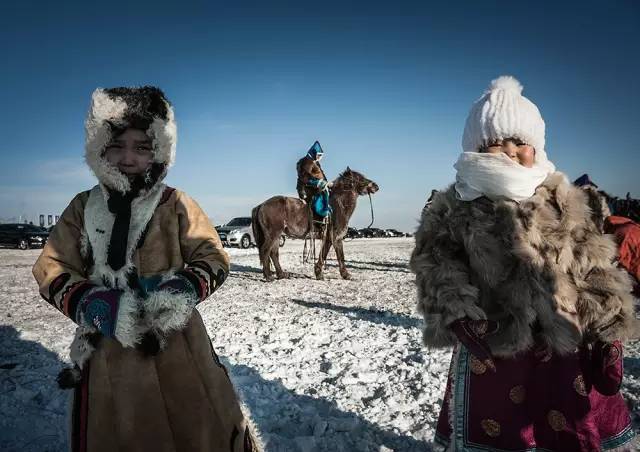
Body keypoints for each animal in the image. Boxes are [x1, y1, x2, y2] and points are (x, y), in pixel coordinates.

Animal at [251, 168, 380, 280]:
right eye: (360, 178)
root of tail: (261, 205)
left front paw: (319, 273)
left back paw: (281, 274)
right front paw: (345, 275)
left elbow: (324, 254)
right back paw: (268, 276)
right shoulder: (336, 238)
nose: (376, 186)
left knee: (273, 253)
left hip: (277, 236)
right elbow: (340, 256)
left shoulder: (329, 239)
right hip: (272, 235)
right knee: (265, 251)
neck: (338, 207)